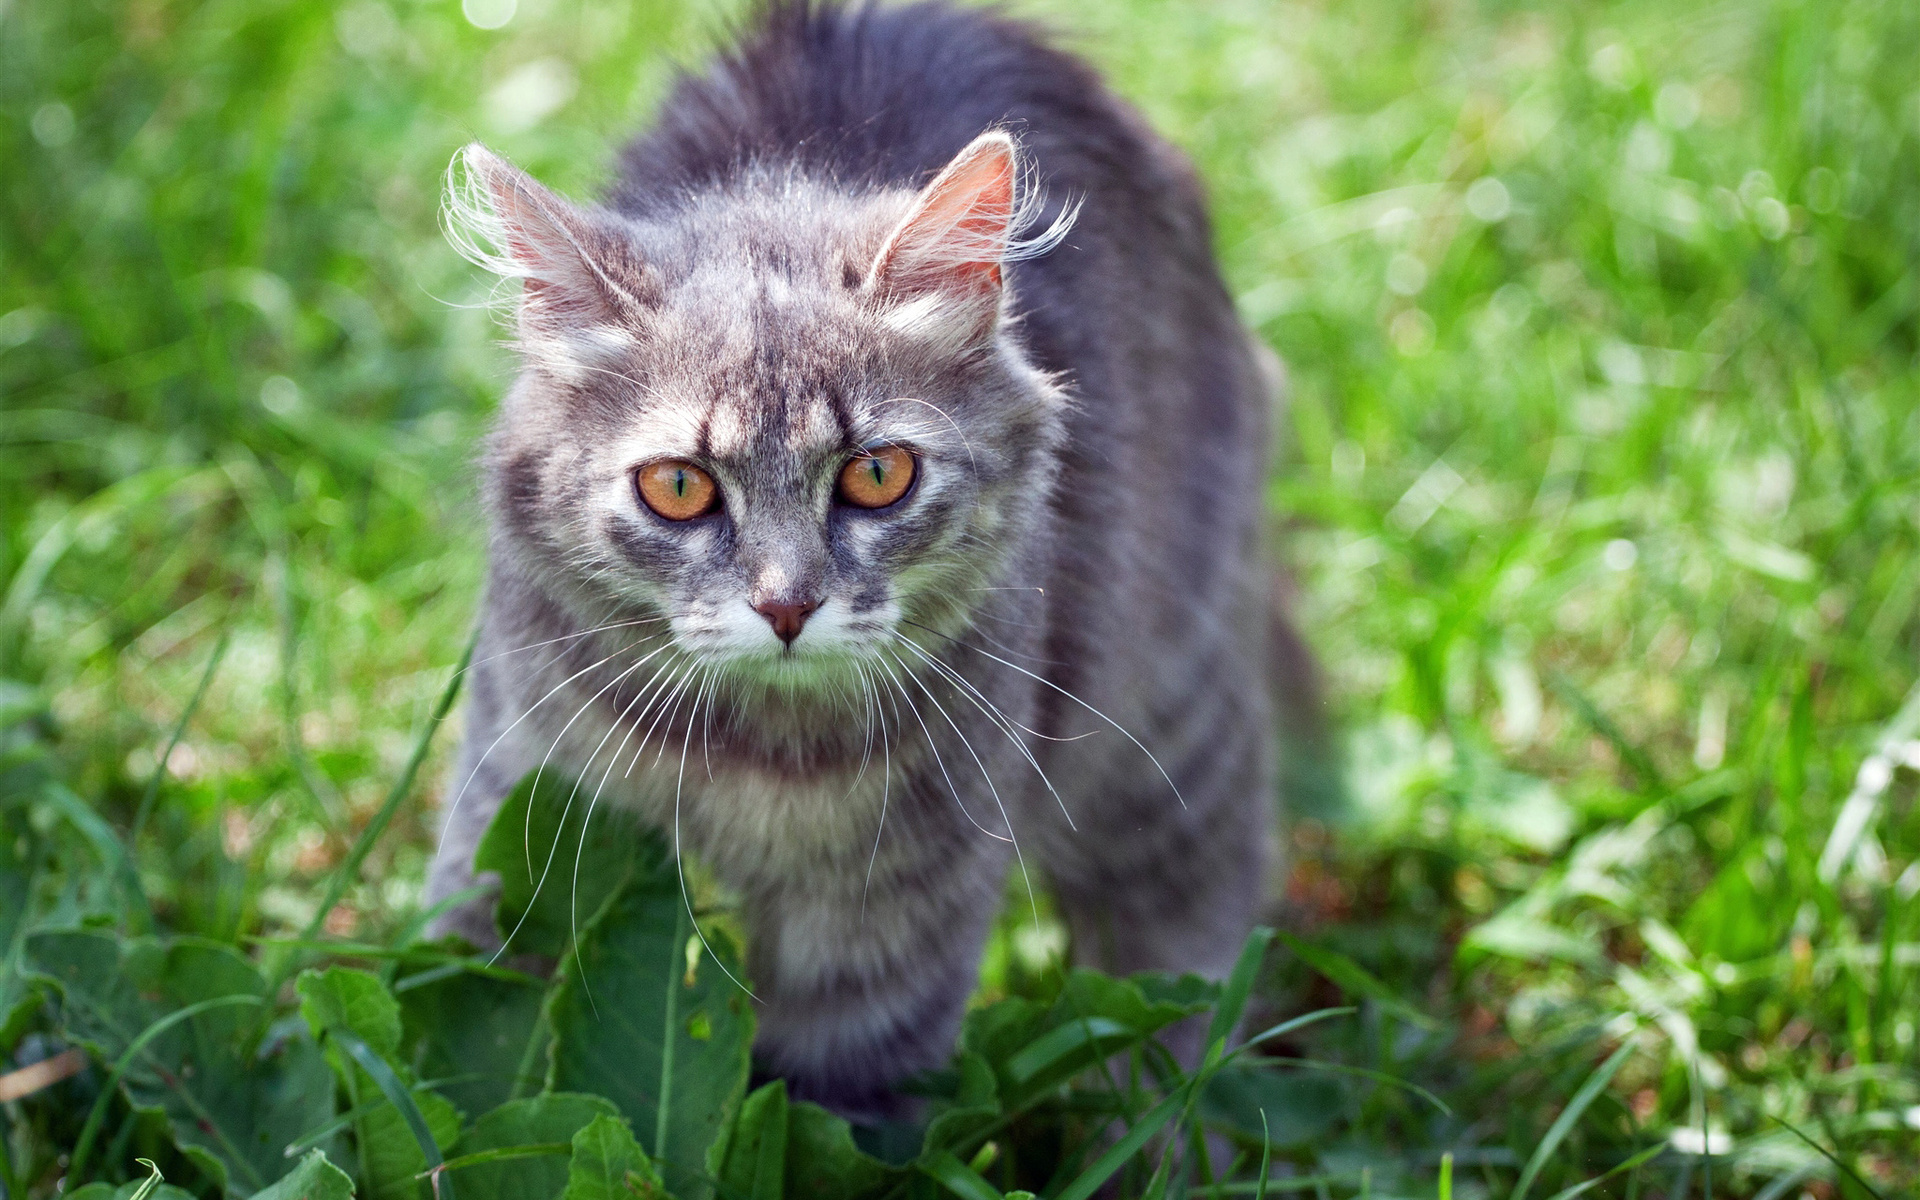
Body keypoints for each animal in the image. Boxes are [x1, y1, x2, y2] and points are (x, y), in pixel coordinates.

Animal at [428, 2, 1297, 1121]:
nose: (787, 606)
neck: (755, 754)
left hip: (1170, 724)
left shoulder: (884, 933)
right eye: (679, 487)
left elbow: (831, 1109)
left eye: (877, 475)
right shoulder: (514, 797)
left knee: (1189, 954)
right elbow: (466, 1023)